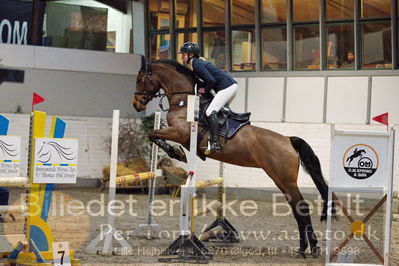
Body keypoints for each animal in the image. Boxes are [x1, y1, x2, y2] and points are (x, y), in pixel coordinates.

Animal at [134, 56, 332, 258]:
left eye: (140, 79)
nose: (137, 105)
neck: (184, 101)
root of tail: (288, 140)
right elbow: (154, 135)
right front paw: (177, 152)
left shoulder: (180, 132)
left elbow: (153, 134)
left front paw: (176, 152)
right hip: (281, 180)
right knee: (297, 209)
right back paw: (305, 248)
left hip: (284, 179)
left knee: (302, 207)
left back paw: (310, 248)